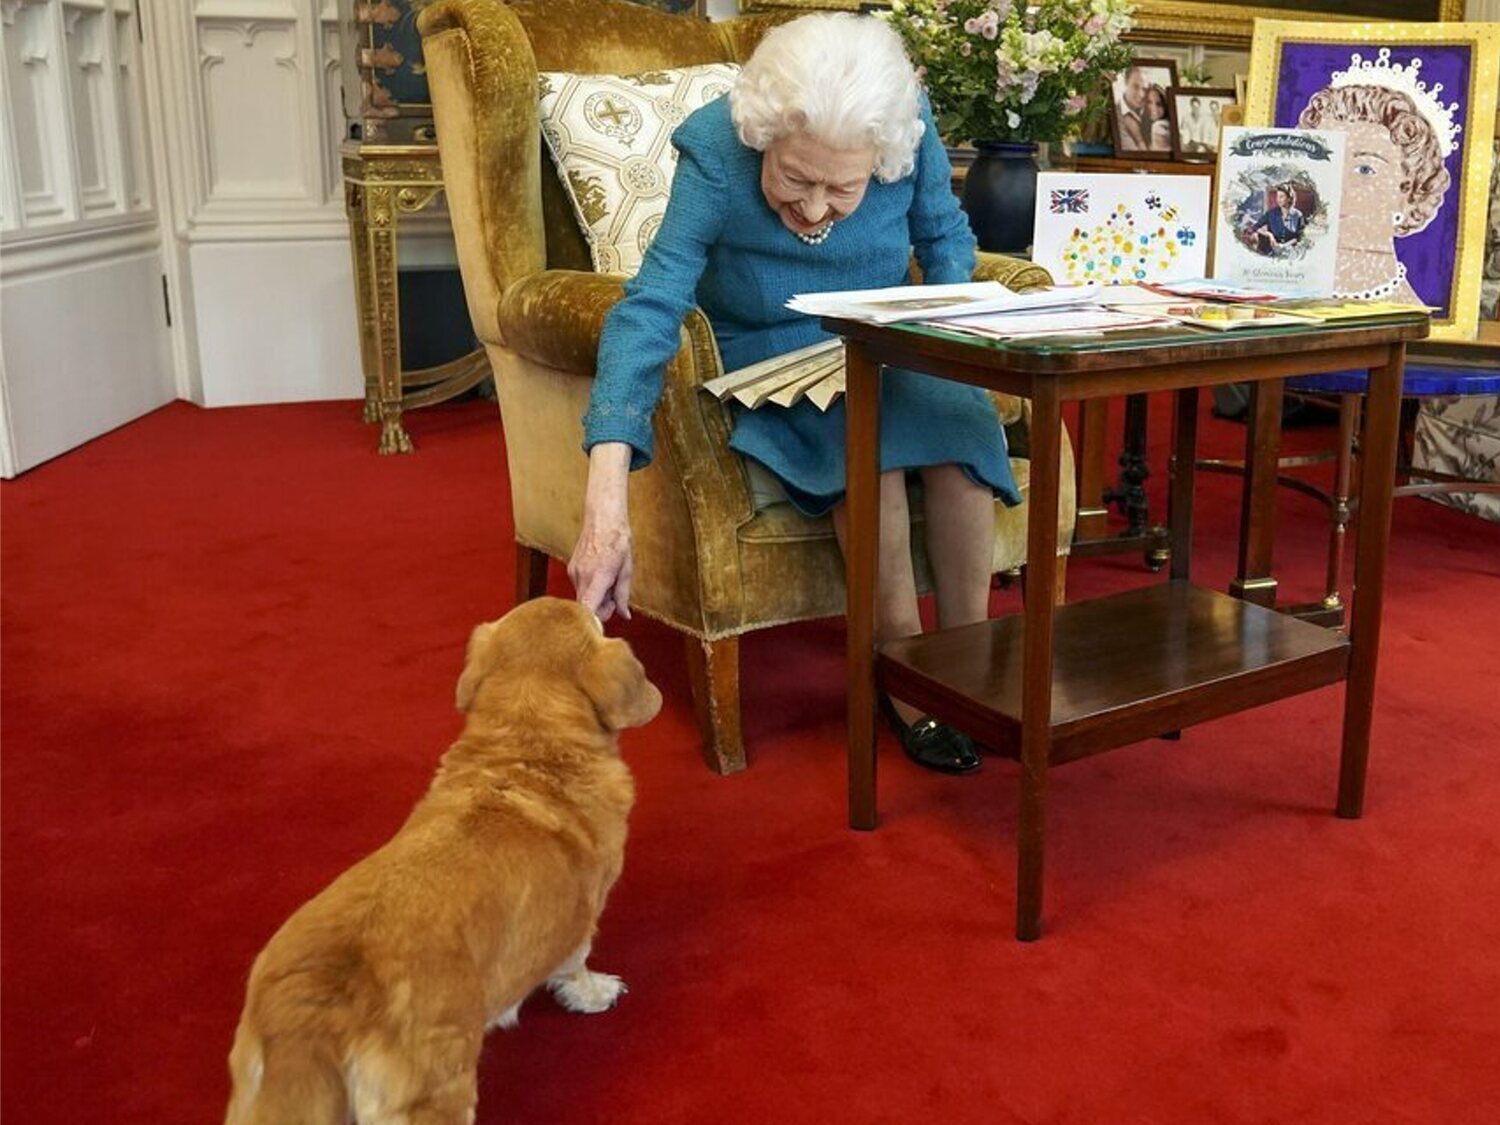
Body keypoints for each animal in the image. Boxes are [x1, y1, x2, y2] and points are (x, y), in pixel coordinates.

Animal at [223, 609, 663, 1125]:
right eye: (593, 621)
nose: (597, 602)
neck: (526, 746)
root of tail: (315, 1010)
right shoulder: (580, 919)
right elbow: (575, 965)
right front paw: (594, 994)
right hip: (438, 1091)